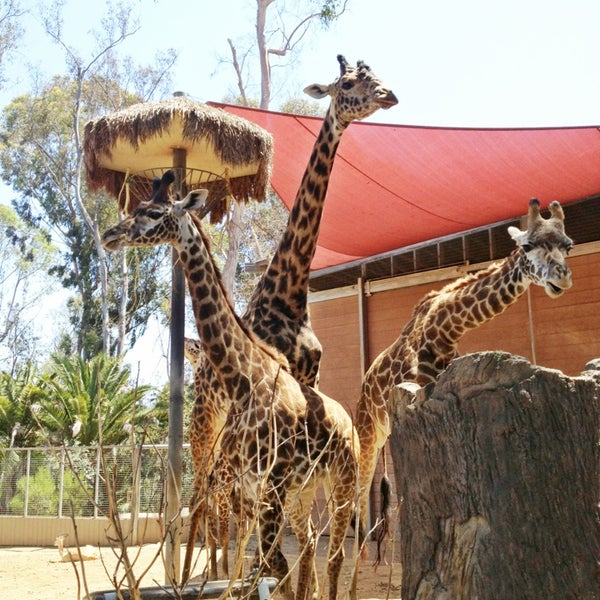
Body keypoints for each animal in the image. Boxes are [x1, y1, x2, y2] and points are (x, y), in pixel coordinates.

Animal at [101, 171, 358, 596]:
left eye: (153, 213)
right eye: (135, 207)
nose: (109, 235)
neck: (243, 380)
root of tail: (349, 422)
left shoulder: (272, 483)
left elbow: (267, 563)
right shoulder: (254, 485)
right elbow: (265, 565)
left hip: (344, 482)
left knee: (336, 554)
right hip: (305, 490)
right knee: (308, 543)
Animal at [183, 54, 398, 580]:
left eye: (375, 74)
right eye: (348, 84)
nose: (389, 95)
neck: (290, 292)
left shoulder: (307, 383)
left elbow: (294, 524)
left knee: (222, 499)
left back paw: (220, 571)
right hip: (206, 422)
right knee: (202, 494)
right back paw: (195, 575)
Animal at [354, 199, 576, 548]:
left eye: (568, 245)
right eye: (527, 246)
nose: (562, 278)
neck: (444, 332)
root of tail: (364, 386)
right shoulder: (420, 396)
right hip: (368, 430)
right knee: (359, 490)